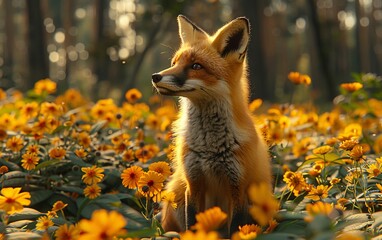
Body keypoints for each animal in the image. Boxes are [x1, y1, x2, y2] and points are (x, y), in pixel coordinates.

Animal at [151, 15, 272, 236]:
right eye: (174, 63)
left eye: (196, 66)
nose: (155, 77)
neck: (210, 148)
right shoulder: (194, 184)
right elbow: (193, 225)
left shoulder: (238, 188)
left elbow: (235, 229)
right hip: (177, 195)